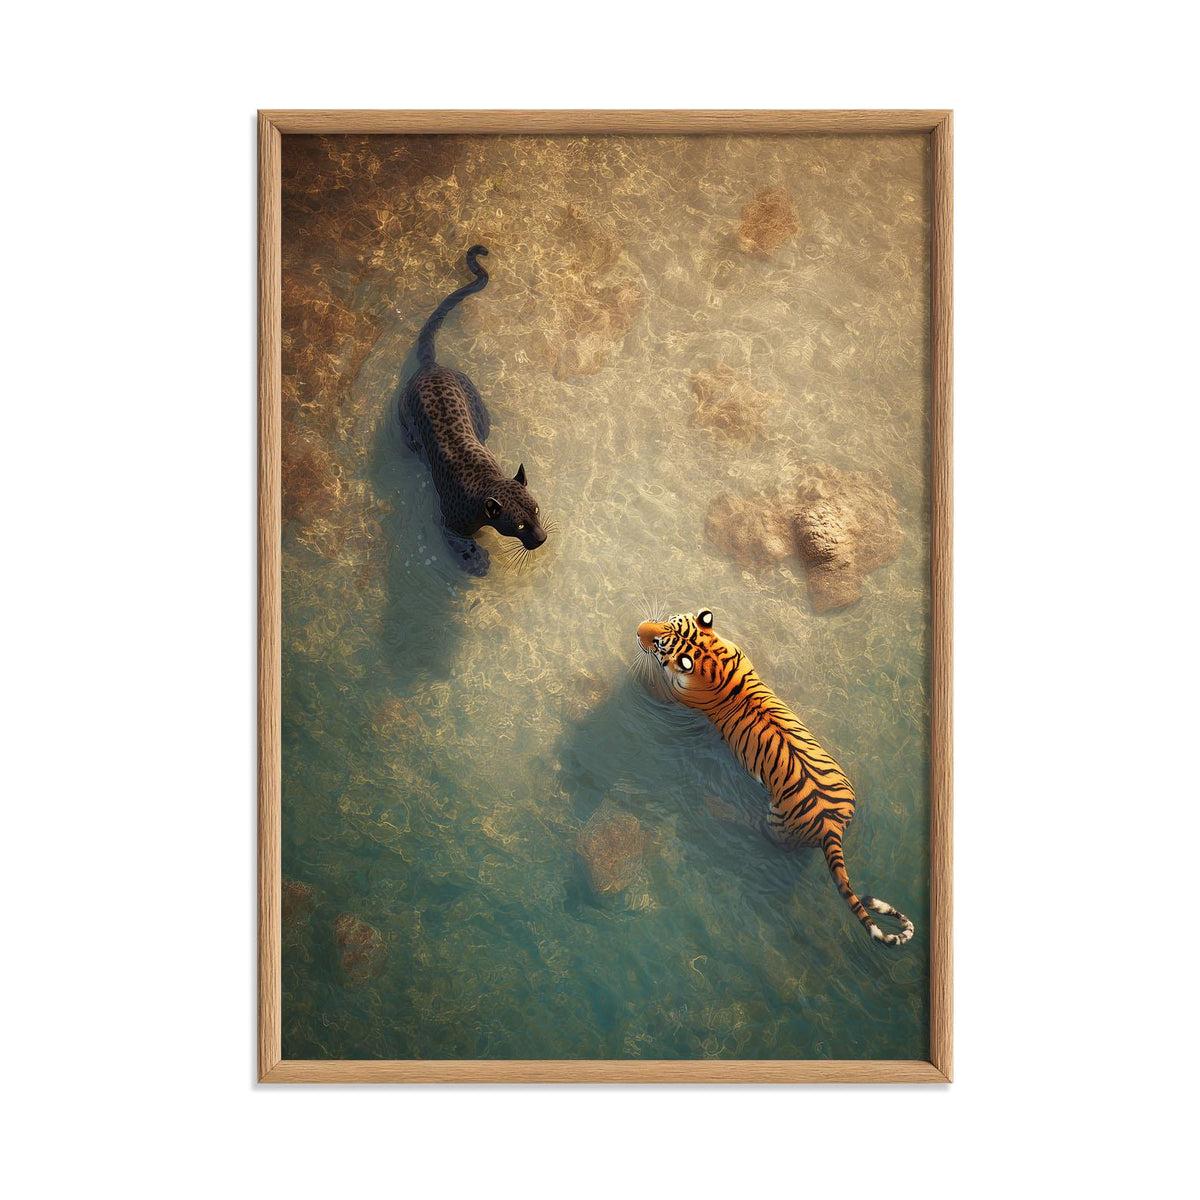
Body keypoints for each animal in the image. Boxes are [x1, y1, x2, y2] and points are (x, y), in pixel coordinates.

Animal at [636, 608, 914, 946]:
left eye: (659, 643)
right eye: (667, 621)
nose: (638, 629)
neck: (711, 656)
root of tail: (831, 824)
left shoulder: (675, 695)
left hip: (776, 825)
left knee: (765, 836)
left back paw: (721, 810)